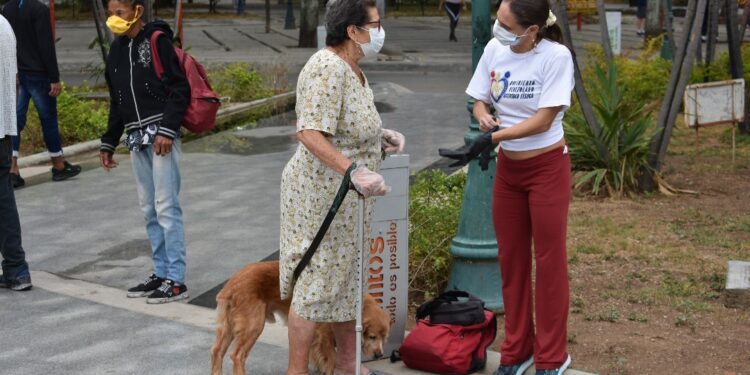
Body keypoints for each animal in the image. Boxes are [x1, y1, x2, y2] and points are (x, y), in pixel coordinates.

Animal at [209, 262, 390, 375]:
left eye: (385, 338)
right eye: (372, 336)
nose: (379, 355)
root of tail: (230, 286)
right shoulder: (324, 337)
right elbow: (331, 358)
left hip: (228, 326)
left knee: (216, 351)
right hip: (253, 325)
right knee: (237, 355)